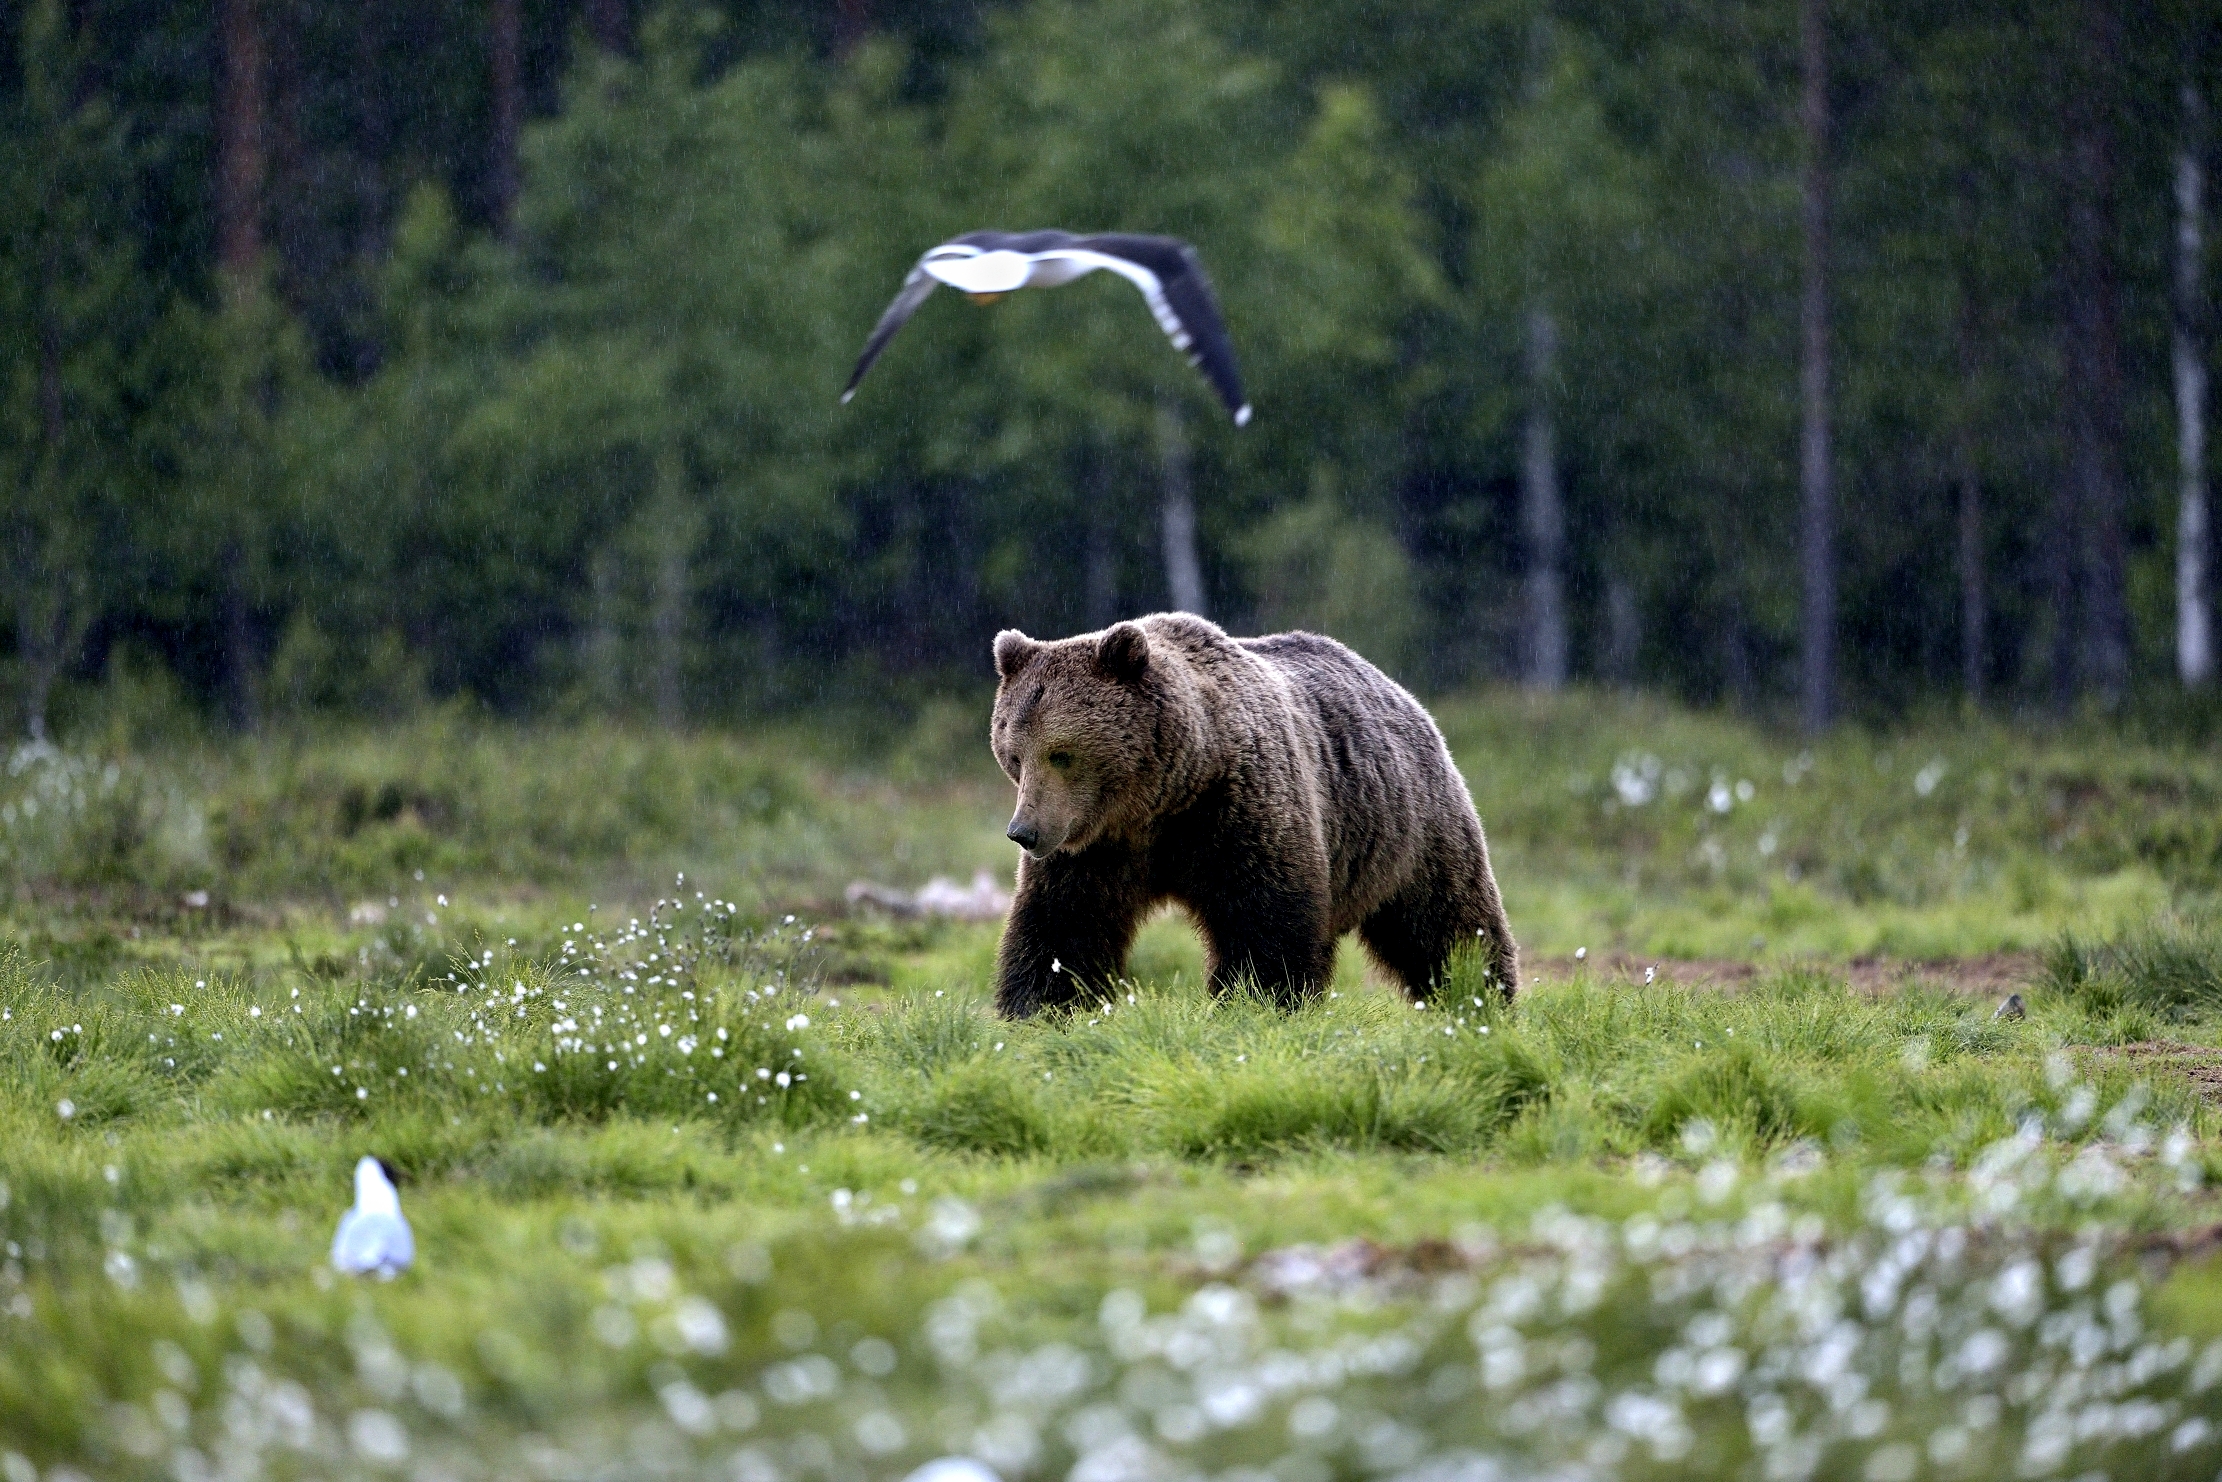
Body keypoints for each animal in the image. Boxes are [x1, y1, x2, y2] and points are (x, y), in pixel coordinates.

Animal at [988, 612, 1518, 1017]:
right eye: (1013, 754)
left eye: (1061, 753)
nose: (1023, 832)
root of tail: (1398, 690)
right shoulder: (1095, 849)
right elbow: (1062, 926)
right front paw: (1042, 1009)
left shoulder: (1239, 809)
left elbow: (1264, 920)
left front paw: (1254, 1001)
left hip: (1411, 826)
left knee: (1448, 923)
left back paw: (1483, 997)